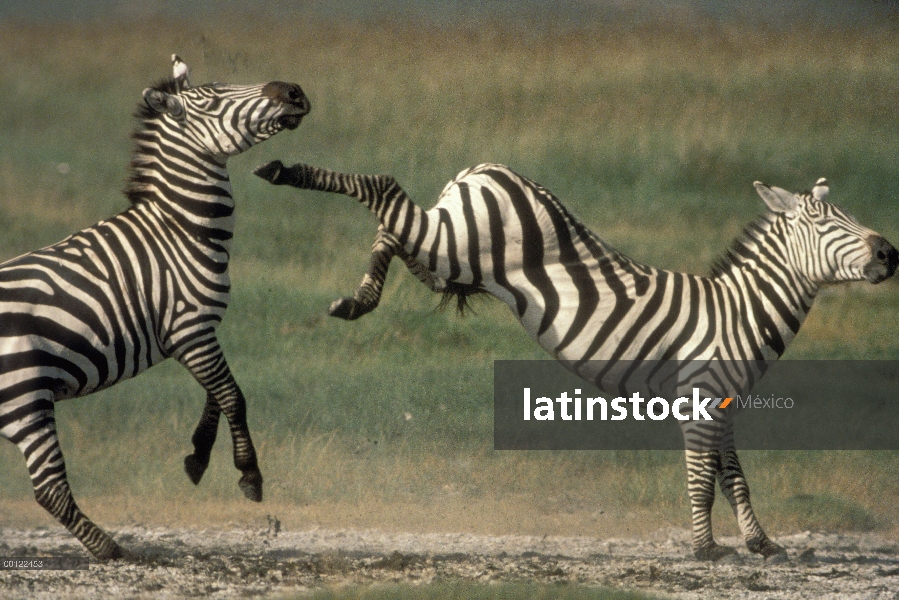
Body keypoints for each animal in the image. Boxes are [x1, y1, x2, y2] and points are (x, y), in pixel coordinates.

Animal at [0, 58, 310, 560]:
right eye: (214, 100)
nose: (295, 91)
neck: (177, 229)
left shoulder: (197, 331)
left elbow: (214, 394)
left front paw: (197, 457)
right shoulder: (190, 328)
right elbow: (232, 396)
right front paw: (249, 475)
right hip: (25, 397)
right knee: (50, 489)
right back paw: (112, 551)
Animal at [255, 157, 899, 560]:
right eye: (825, 222)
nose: (889, 252)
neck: (740, 310)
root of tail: (483, 171)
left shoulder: (722, 403)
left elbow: (733, 475)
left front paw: (760, 543)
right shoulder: (700, 397)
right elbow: (702, 479)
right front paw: (706, 550)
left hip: (450, 249)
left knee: (394, 230)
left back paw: (358, 297)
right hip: (454, 241)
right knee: (386, 190)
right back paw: (284, 171)